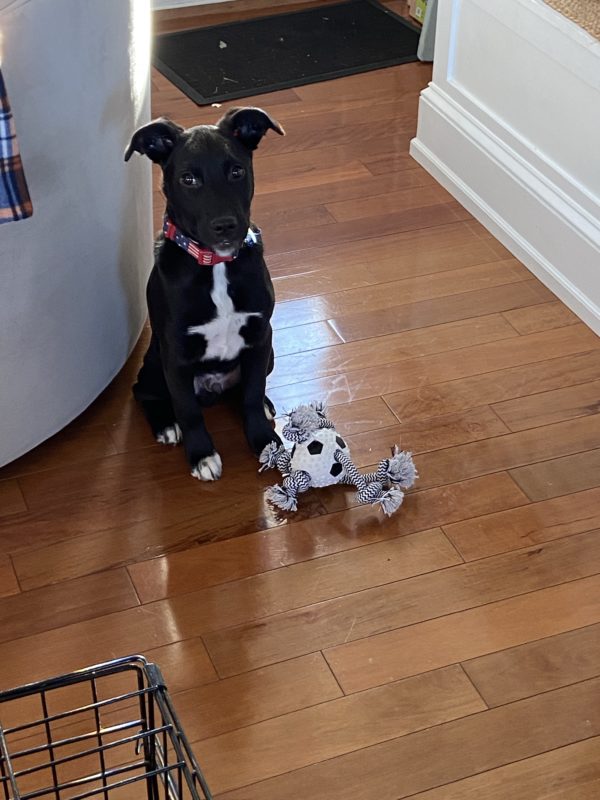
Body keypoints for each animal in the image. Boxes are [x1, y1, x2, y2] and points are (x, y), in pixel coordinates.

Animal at [125, 108, 284, 482]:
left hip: (269, 352)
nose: (225, 226)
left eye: (237, 171)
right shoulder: (176, 354)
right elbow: (188, 411)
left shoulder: (260, 336)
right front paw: (201, 455)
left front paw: (264, 440)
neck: (216, 265)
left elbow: (252, 393)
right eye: (188, 180)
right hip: (156, 363)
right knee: (143, 391)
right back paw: (165, 424)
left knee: (248, 389)